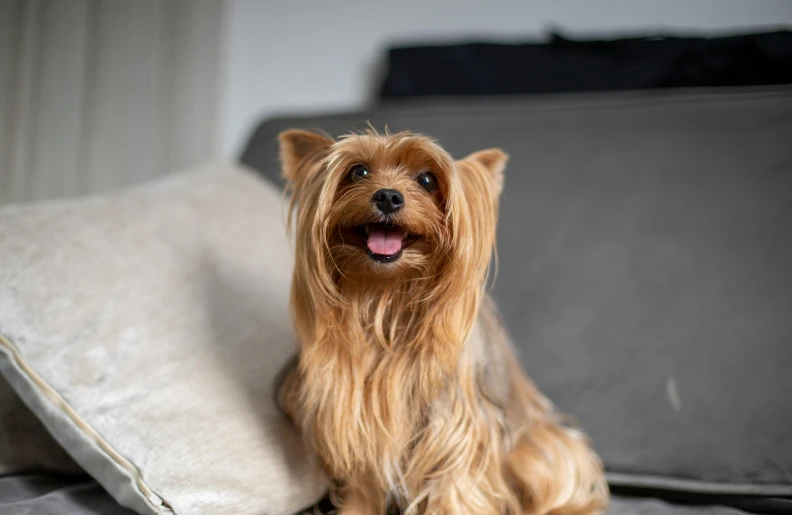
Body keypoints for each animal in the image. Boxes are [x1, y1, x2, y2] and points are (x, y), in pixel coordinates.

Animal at [276, 129, 608, 515]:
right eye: (358, 172)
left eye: (427, 180)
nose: (388, 196)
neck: (385, 299)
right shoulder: (357, 419)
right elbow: (362, 486)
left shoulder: (456, 428)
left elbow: (455, 485)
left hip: (538, 449)